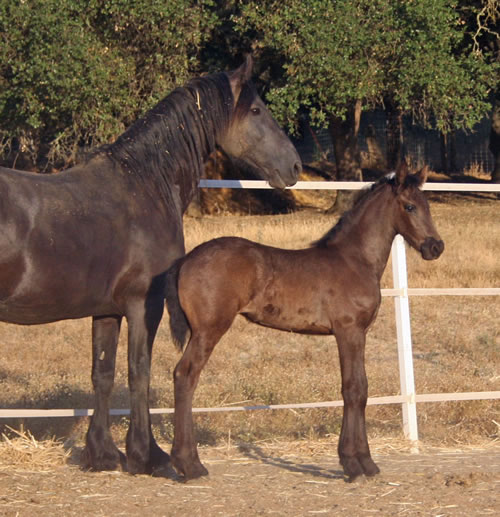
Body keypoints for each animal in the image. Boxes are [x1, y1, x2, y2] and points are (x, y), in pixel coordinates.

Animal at [0, 55, 298, 472]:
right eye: (256, 110)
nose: (295, 166)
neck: (146, 186)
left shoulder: (106, 311)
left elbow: (103, 374)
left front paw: (103, 454)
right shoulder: (145, 304)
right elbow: (138, 371)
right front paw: (148, 454)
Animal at [168, 161, 446, 480]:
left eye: (428, 206)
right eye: (410, 206)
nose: (436, 247)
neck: (354, 260)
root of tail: (186, 260)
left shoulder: (358, 333)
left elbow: (361, 388)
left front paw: (363, 461)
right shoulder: (349, 331)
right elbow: (354, 389)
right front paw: (355, 463)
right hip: (208, 329)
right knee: (185, 376)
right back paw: (190, 464)